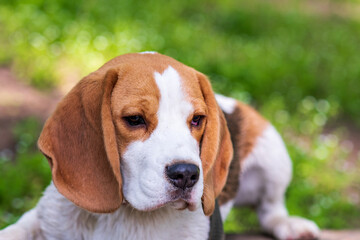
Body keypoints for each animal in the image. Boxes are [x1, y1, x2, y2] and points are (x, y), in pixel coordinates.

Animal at [0, 52, 320, 240]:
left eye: (197, 119)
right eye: (134, 119)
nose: (187, 174)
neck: (125, 215)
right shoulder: (46, 217)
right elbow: (18, 228)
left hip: (274, 154)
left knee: (271, 210)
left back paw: (291, 225)